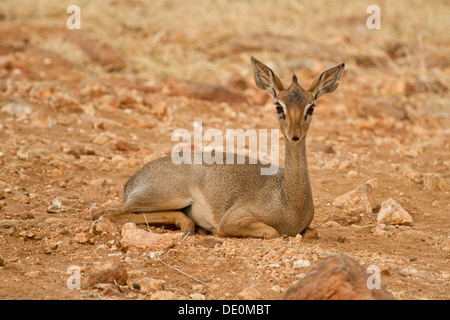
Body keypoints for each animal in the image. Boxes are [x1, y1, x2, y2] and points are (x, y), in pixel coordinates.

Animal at [95, 57, 344, 238]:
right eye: (278, 106)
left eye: (311, 107)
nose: (294, 136)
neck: (287, 201)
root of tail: (131, 183)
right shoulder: (234, 220)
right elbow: (273, 232)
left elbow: (313, 232)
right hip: (166, 196)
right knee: (105, 212)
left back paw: (188, 225)